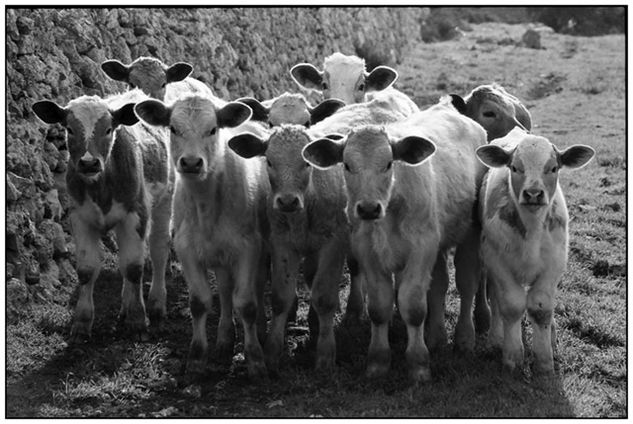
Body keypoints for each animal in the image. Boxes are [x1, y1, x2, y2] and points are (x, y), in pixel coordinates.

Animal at [31, 89, 170, 342]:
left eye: (108, 129)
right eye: (70, 129)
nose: (88, 163)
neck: (101, 187)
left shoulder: (136, 213)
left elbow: (134, 267)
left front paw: (138, 320)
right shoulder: (80, 217)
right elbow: (87, 271)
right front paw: (82, 323)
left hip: (164, 202)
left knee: (158, 252)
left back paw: (156, 304)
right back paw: (125, 305)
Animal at [304, 102, 486, 380]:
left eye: (389, 163)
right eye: (347, 165)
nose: (368, 208)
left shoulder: (421, 250)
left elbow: (413, 307)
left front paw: (419, 364)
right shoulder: (367, 253)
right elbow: (379, 308)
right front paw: (378, 362)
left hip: (469, 234)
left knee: (467, 286)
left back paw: (464, 339)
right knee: (439, 287)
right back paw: (437, 338)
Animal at [476, 127, 596, 372]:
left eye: (553, 168)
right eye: (514, 167)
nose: (533, 193)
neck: (531, 230)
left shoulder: (554, 263)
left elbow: (541, 308)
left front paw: (544, 361)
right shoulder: (496, 261)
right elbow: (511, 305)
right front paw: (512, 356)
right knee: (496, 298)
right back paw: (496, 338)